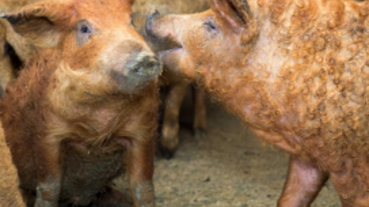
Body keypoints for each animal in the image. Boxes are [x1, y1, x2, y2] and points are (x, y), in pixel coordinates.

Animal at [0, 0, 161, 206]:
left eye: (131, 21)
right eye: (84, 29)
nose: (145, 59)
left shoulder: (143, 132)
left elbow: (143, 188)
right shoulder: (47, 133)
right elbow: (49, 187)